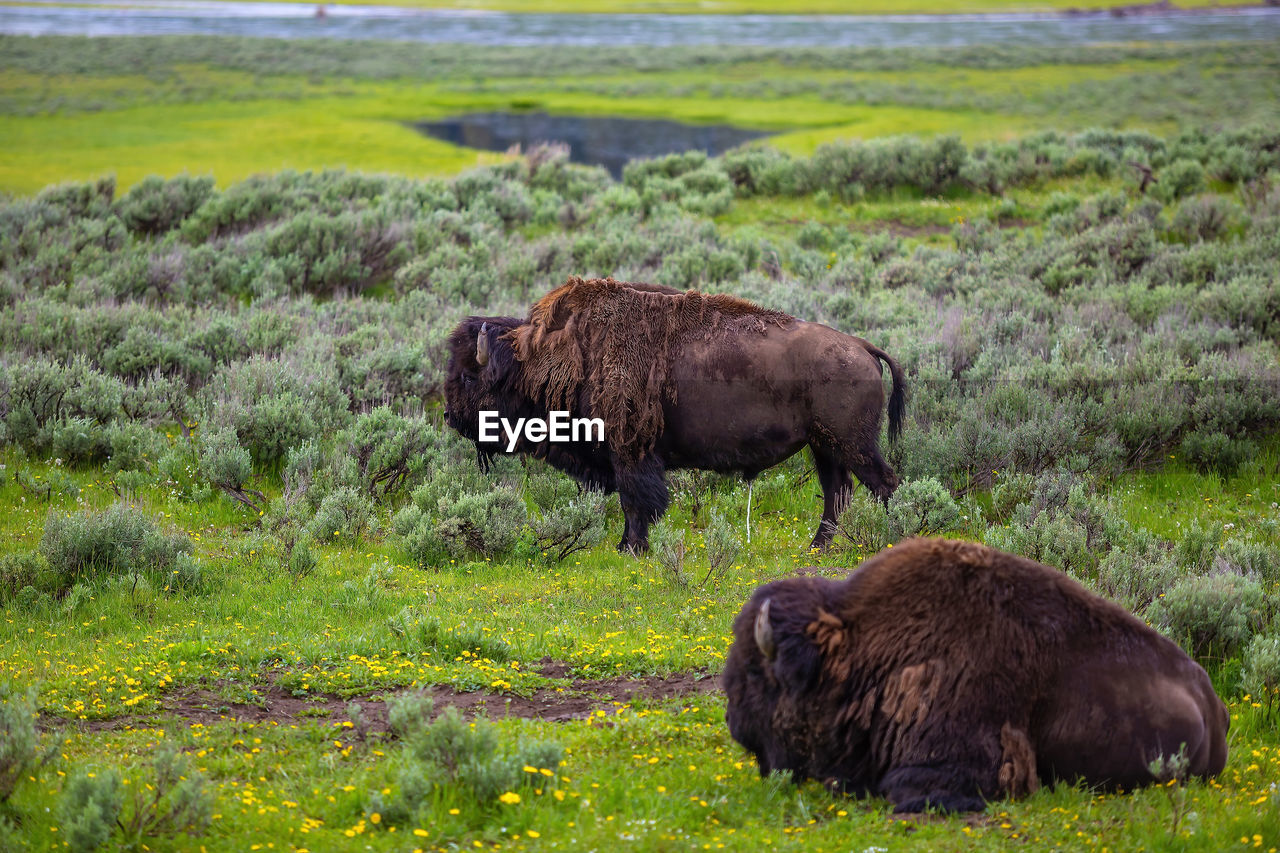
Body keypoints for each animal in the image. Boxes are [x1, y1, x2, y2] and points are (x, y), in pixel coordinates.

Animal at [445, 277, 906, 550]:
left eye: (469, 376)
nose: (451, 416)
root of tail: (862, 347)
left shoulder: (630, 452)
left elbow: (636, 501)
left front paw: (630, 548)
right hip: (824, 447)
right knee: (838, 493)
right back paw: (817, 547)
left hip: (851, 444)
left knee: (882, 483)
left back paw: (888, 538)